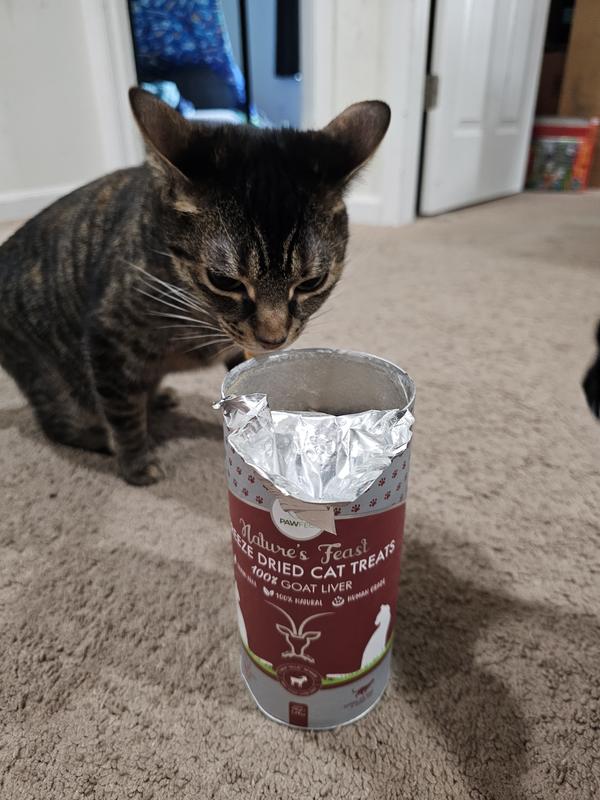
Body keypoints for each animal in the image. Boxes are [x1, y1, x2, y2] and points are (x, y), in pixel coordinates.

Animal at [0, 88, 390, 485]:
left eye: (312, 282)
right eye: (224, 281)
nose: (273, 339)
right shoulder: (107, 336)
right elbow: (122, 415)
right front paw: (137, 464)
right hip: (54, 381)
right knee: (61, 421)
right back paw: (102, 437)